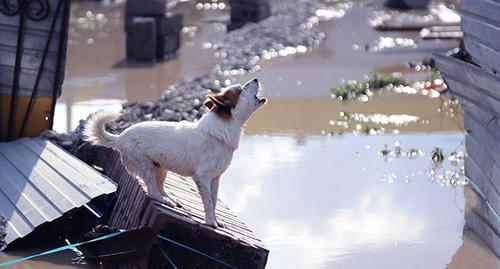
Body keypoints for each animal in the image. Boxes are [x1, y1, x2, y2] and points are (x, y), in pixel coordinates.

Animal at [84, 78, 268, 227]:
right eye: (241, 89)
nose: (256, 78)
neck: (223, 129)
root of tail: (120, 137)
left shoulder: (215, 179)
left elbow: (214, 201)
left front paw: (215, 220)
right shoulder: (202, 177)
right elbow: (208, 202)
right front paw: (210, 222)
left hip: (160, 168)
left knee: (159, 186)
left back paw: (171, 198)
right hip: (146, 166)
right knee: (153, 191)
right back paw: (165, 201)